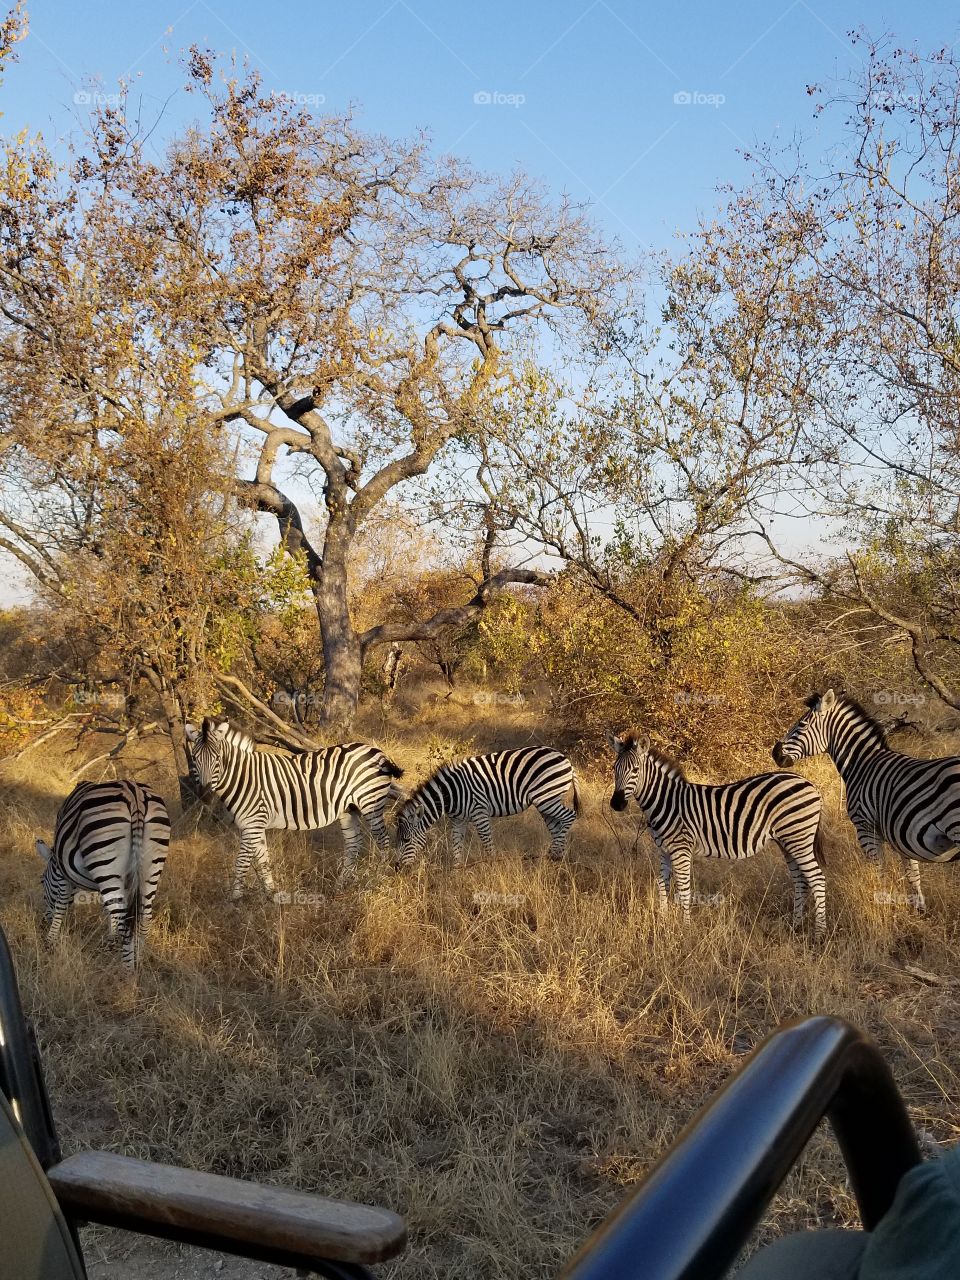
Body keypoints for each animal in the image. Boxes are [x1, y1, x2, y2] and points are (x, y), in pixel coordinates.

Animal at [35, 780, 170, 970]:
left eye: (42, 881)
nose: (43, 921)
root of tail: (134, 793)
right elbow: (108, 911)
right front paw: (110, 942)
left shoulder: (62, 872)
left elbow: (61, 904)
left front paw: (50, 941)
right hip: (150, 866)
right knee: (144, 916)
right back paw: (139, 961)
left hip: (105, 856)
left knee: (125, 922)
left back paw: (128, 972)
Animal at [185, 719, 405, 898]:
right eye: (194, 759)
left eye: (217, 759)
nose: (205, 795)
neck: (244, 777)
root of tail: (378, 751)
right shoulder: (255, 825)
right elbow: (263, 860)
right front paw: (271, 895)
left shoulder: (252, 824)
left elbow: (242, 862)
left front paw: (234, 900)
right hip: (349, 809)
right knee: (354, 844)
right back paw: (341, 886)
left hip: (371, 803)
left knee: (383, 841)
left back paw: (377, 880)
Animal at [395, 746, 581, 869]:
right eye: (399, 840)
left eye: (406, 840)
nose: (397, 867)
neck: (450, 794)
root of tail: (565, 759)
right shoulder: (458, 819)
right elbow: (456, 845)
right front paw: (457, 872)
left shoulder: (479, 812)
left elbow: (487, 843)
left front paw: (492, 867)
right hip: (546, 802)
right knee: (556, 827)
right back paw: (556, 857)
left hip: (546, 798)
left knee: (569, 816)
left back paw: (555, 854)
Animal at [609, 731, 826, 939]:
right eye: (614, 769)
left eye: (635, 770)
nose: (616, 804)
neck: (666, 801)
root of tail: (810, 784)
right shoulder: (664, 850)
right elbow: (663, 885)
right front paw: (662, 923)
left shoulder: (681, 849)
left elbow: (684, 889)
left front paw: (685, 929)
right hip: (788, 842)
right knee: (800, 881)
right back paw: (795, 926)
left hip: (798, 838)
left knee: (817, 879)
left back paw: (819, 935)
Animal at [772, 688, 960, 915]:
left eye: (801, 725)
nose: (775, 753)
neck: (862, 764)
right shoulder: (900, 835)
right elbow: (912, 875)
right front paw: (919, 911)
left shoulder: (865, 827)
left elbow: (878, 871)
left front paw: (883, 905)